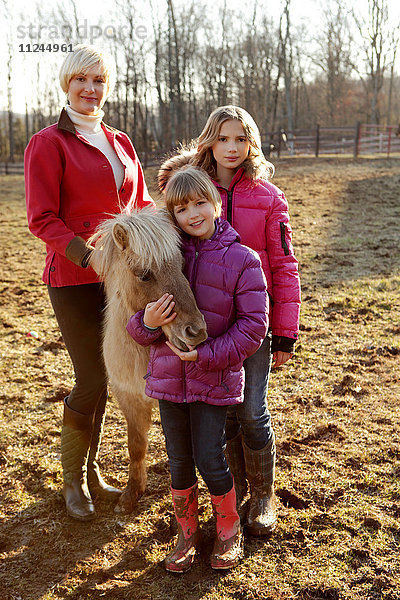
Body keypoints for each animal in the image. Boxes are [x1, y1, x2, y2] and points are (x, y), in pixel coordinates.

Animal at [92, 209, 208, 512]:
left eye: (182, 265)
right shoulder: (128, 398)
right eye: (145, 275)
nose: (196, 331)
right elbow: (136, 446)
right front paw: (131, 495)